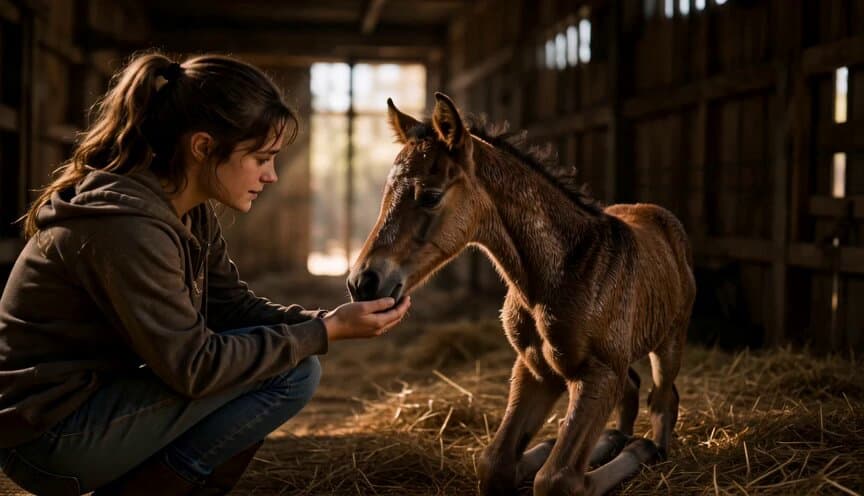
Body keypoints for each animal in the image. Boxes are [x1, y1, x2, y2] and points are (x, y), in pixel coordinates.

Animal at [347, 92, 696, 496]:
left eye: (430, 196)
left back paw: (649, 447)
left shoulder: (599, 373)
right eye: (387, 193)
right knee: (633, 389)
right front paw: (553, 447)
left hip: (670, 341)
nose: (362, 282)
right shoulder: (535, 368)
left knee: (663, 398)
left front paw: (627, 451)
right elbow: (496, 463)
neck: (558, 276)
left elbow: (557, 479)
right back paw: (613, 438)